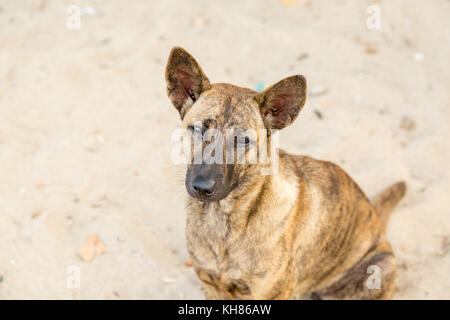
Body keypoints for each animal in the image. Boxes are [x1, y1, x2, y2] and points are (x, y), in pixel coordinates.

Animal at [163, 46, 406, 298]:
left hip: (383, 265)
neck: (224, 221)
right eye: (197, 128)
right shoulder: (211, 285)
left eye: (243, 140)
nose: (202, 188)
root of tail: (377, 219)